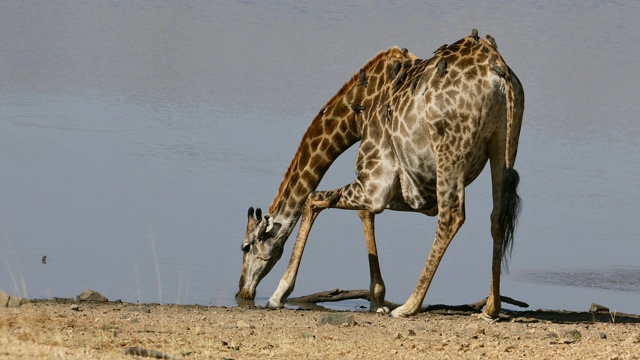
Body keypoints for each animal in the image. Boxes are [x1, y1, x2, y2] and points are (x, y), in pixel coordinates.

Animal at [238, 31, 524, 318]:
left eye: (246, 246)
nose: (242, 290)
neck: (357, 114)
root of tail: (496, 69)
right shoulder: (395, 189)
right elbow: (363, 213)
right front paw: (377, 299)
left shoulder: (376, 183)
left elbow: (313, 199)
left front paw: (278, 294)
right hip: (503, 143)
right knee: (497, 216)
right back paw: (491, 307)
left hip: (449, 150)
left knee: (452, 216)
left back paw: (409, 306)